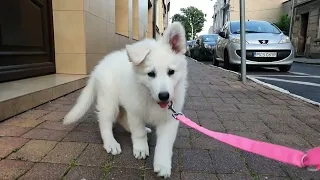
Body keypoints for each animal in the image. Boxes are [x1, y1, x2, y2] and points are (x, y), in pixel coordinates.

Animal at [62, 21, 188, 178]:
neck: (150, 98)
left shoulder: (169, 119)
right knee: (105, 122)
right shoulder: (136, 112)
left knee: (122, 117)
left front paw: (163, 165)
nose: (164, 96)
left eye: (171, 72)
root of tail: (98, 67)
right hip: (109, 101)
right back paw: (111, 143)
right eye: (151, 74)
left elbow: (164, 144)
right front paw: (141, 149)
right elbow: (138, 133)